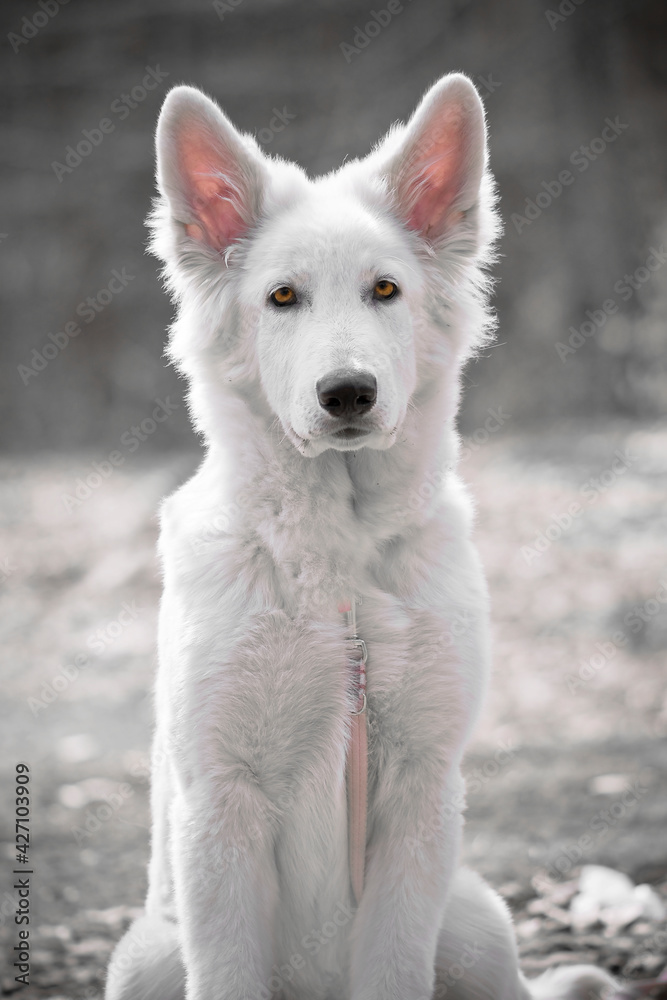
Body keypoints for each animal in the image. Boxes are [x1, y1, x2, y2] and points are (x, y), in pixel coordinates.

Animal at [105, 74, 620, 996]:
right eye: (282, 297)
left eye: (385, 290)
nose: (348, 393)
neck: (338, 559)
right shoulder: (222, 803)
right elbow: (228, 968)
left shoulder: (421, 791)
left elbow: (393, 962)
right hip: (148, 957)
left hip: (476, 923)